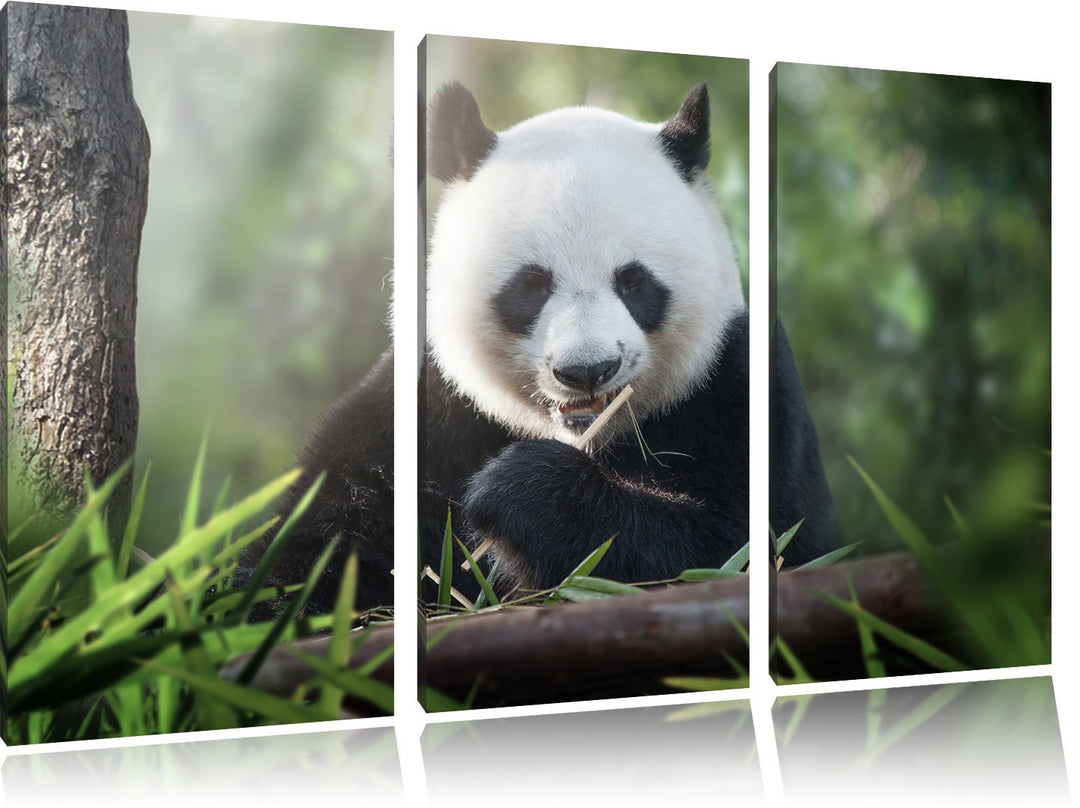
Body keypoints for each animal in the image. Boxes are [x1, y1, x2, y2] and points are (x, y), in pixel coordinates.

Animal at [241, 82, 834, 614]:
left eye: (634, 282)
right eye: (531, 285)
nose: (589, 370)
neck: (586, 438)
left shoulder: (737, 388)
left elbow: (739, 546)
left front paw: (518, 492)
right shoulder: (426, 408)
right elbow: (321, 536)